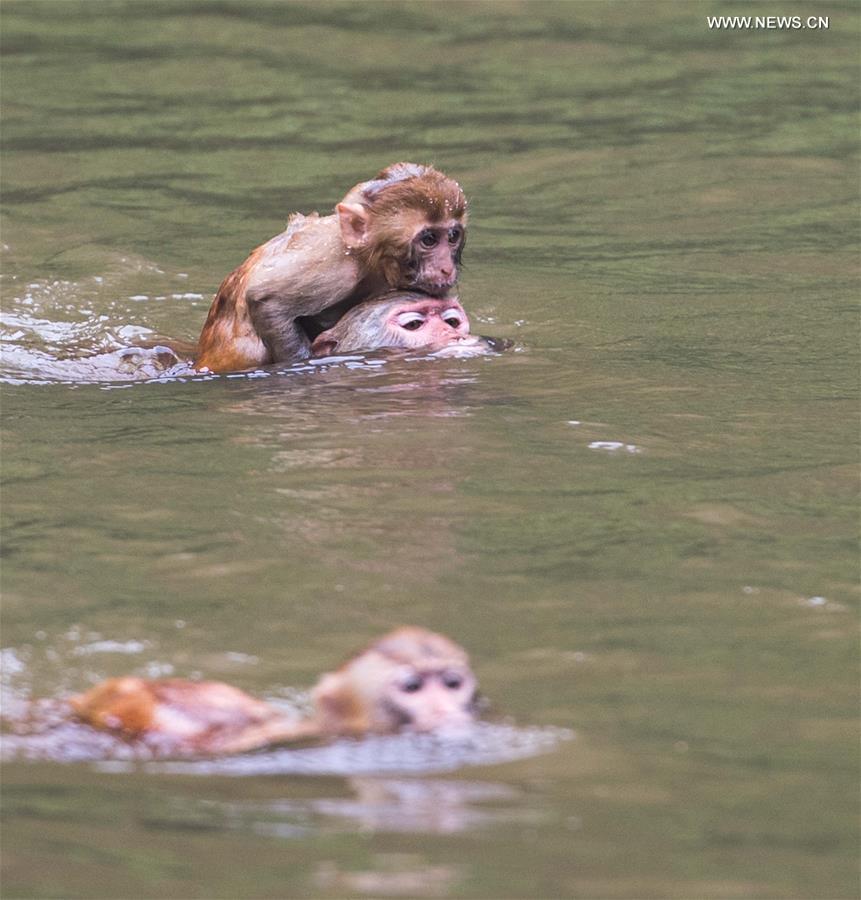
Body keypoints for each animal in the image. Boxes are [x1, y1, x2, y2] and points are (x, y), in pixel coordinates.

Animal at [195, 163, 468, 373]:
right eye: (429, 239)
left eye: (453, 236)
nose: (446, 268)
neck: (366, 260)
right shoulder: (336, 271)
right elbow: (266, 300)